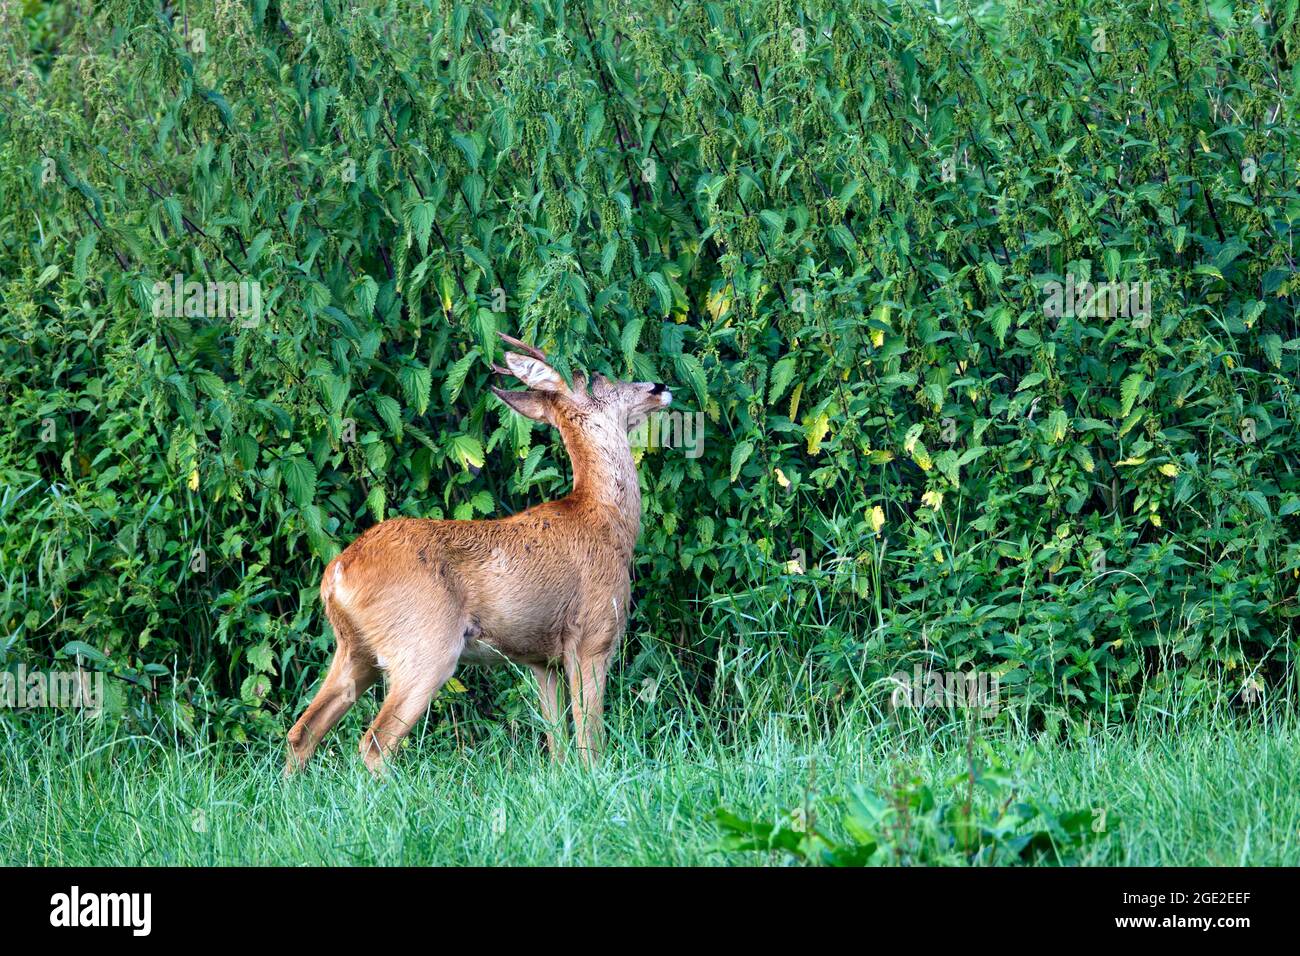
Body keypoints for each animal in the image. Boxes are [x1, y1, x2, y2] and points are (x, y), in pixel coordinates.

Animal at [285, 332, 672, 775]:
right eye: (598, 379)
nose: (659, 387)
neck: (606, 519)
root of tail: (337, 572)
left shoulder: (541, 659)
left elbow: (557, 745)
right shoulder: (593, 636)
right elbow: (590, 743)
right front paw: (596, 778)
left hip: (354, 649)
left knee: (302, 731)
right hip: (423, 646)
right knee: (374, 742)